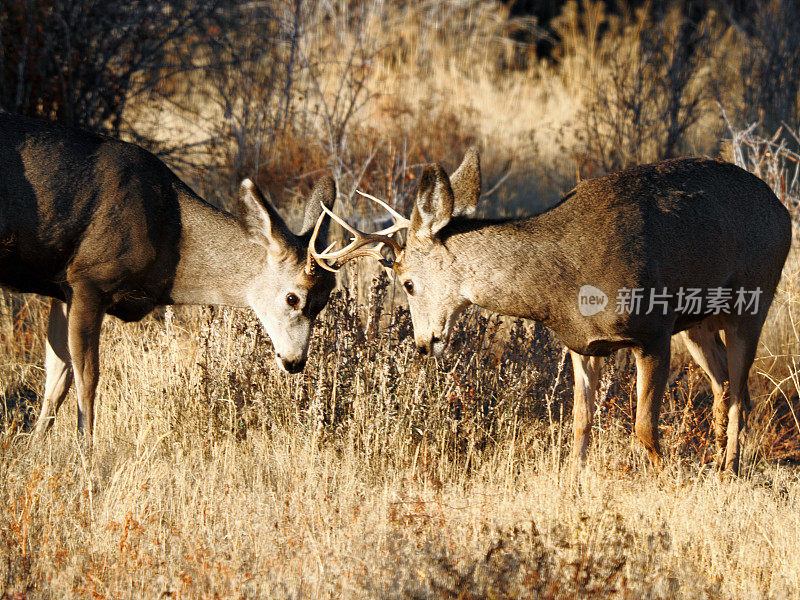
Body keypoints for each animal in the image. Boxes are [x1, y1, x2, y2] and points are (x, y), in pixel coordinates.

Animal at [0, 115, 338, 448]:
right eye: (292, 298)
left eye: (324, 302)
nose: (295, 362)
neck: (170, 236)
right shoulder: (89, 278)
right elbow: (87, 377)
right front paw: (87, 448)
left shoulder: (61, 288)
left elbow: (57, 378)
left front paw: (36, 447)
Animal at [306, 149, 792, 474]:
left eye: (407, 282)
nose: (425, 344)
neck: (561, 287)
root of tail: (782, 210)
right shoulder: (581, 345)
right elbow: (580, 423)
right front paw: (574, 479)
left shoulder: (652, 332)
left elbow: (642, 427)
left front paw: (670, 476)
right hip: (697, 323)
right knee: (725, 386)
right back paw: (718, 453)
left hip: (752, 299)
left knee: (742, 392)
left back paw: (729, 468)